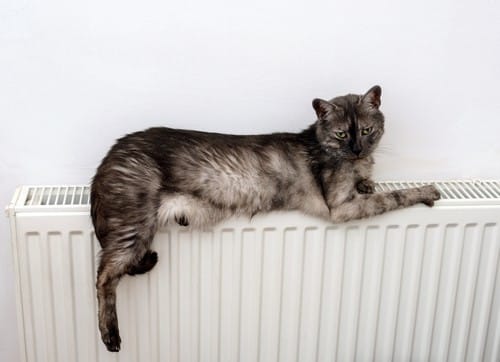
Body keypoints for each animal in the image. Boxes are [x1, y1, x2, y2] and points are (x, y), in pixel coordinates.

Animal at [91, 85, 442, 350]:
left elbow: (370, 186)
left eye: (367, 131)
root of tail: (110, 153)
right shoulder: (340, 207)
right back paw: (110, 336)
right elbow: (392, 197)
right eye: (342, 134)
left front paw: (368, 182)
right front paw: (425, 191)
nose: (357, 149)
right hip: (135, 225)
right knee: (104, 274)